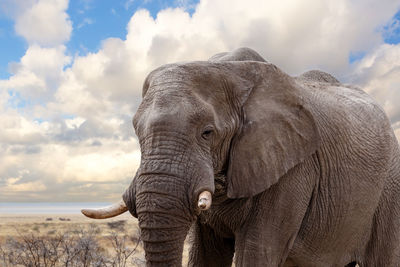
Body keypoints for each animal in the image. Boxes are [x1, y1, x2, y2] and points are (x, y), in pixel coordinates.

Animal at [81, 47, 400, 266]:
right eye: (136, 131)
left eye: (207, 132)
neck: (227, 68)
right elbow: (206, 257)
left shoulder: (293, 171)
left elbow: (258, 252)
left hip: (390, 189)